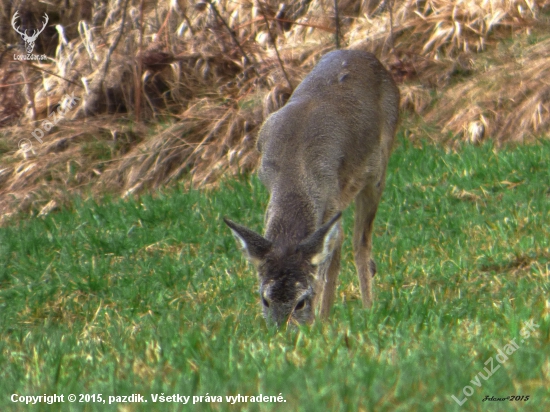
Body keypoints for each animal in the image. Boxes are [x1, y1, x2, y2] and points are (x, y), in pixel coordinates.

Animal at [224, 50, 402, 328]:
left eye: (301, 301)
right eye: (265, 300)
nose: (281, 331)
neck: (295, 165)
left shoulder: (332, 197)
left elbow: (330, 260)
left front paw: (322, 322)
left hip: (378, 170)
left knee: (361, 243)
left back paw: (369, 308)